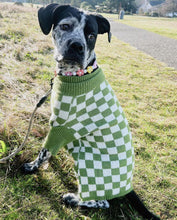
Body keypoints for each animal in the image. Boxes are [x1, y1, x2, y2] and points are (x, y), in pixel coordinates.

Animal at [23, 3, 160, 220]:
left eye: (91, 35)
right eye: (65, 26)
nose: (77, 47)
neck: (78, 74)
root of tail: (127, 187)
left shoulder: (59, 128)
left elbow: (44, 152)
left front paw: (31, 167)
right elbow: (49, 152)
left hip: (87, 165)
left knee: (102, 201)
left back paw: (73, 199)